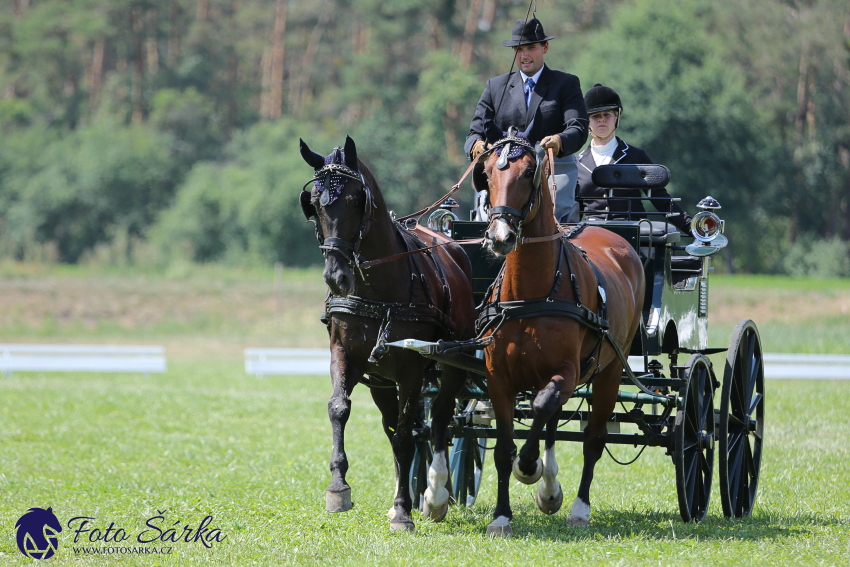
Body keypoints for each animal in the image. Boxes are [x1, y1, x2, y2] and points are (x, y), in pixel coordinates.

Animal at [298, 136, 474, 532]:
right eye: (313, 203)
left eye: (354, 200)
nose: (336, 277)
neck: (377, 287)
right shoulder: (345, 354)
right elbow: (339, 409)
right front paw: (338, 487)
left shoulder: (410, 368)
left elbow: (409, 433)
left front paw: (405, 512)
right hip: (381, 381)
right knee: (394, 427)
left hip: (453, 364)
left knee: (439, 418)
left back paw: (435, 493)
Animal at [424, 129, 644, 536]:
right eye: (487, 176)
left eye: (529, 173)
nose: (500, 236)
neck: (532, 293)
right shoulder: (499, 378)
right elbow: (503, 446)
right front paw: (501, 516)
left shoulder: (567, 372)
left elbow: (541, 414)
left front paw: (529, 467)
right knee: (552, 425)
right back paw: (550, 490)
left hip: (608, 372)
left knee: (592, 439)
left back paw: (578, 508)